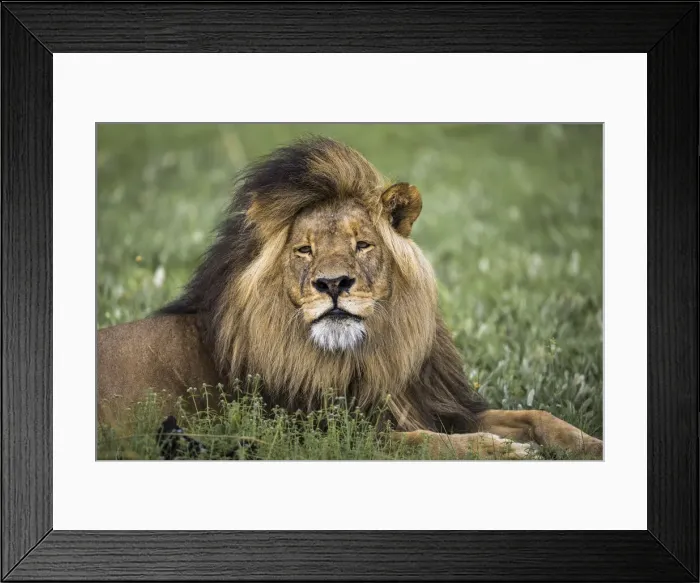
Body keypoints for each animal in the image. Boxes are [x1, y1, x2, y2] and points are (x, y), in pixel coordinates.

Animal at [97, 136, 603, 460]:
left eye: (362, 245)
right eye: (304, 250)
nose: (333, 284)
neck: (369, 355)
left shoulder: (439, 406)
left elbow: (538, 415)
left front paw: (590, 446)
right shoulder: (323, 432)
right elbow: (424, 443)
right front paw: (502, 451)